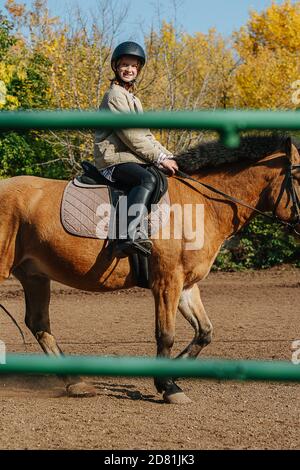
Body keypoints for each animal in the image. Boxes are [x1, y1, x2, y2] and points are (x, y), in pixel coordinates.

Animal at [0, 134, 298, 402]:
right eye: (298, 178)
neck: (201, 204)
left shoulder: (186, 284)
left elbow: (204, 332)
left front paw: (170, 377)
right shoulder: (167, 282)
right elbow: (166, 335)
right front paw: (168, 386)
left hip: (35, 275)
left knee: (39, 324)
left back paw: (76, 383)